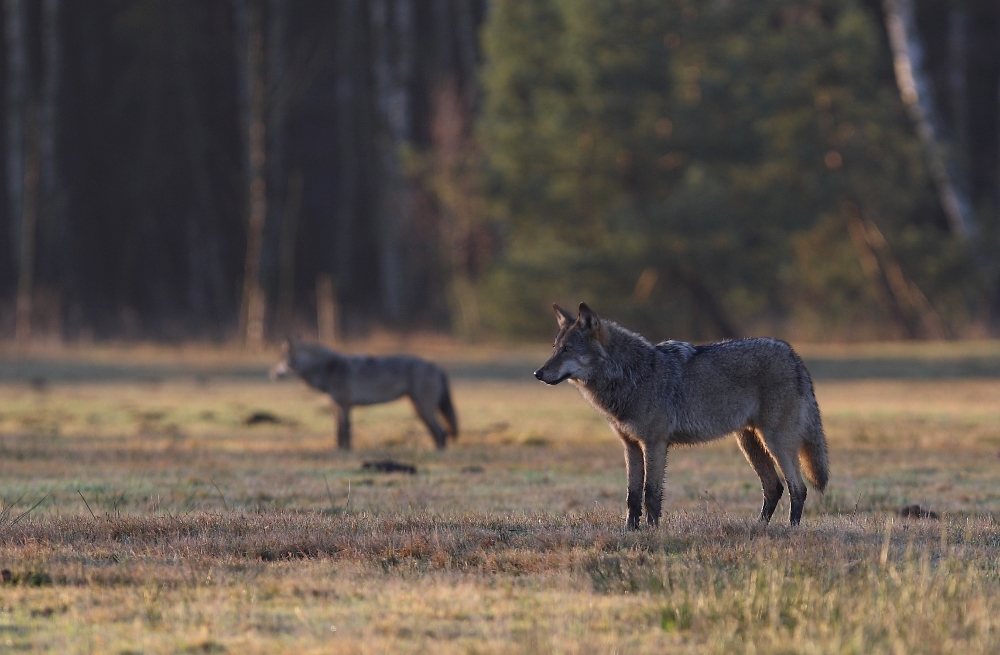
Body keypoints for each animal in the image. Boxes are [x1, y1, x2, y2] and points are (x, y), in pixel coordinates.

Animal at [274, 338, 460, 452]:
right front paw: (340, 449)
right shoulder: (338, 407)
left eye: (281, 361)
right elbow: (340, 430)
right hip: (419, 409)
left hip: (423, 409)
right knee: (439, 432)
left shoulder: (344, 406)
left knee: (441, 432)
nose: (273, 373)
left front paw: (345, 451)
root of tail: (436, 366)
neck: (329, 369)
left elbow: (345, 430)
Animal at [532, 304, 828, 532]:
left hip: (776, 443)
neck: (632, 375)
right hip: (750, 444)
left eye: (568, 349)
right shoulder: (631, 446)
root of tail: (793, 355)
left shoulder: (654, 444)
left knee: (798, 488)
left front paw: (652, 530)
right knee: (774, 487)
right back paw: (758, 527)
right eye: (555, 347)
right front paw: (630, 531)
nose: (538, 373)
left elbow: (651, 493)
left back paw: (791, 529)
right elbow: (632, 496)